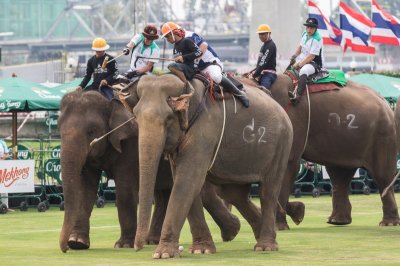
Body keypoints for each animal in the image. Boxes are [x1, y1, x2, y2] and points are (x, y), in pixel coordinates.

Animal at [58, 91, 241, 254]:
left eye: (91, 131)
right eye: (58, 129)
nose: (65, 248)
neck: (109, 102)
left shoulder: (130, 147)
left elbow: (124, 192)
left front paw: (123, 245)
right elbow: (85, 191)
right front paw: (77, 243)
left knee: (203, 192)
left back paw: (232, 231)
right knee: (163, 196)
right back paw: (153, 240)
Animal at [128, 74, 294, 258]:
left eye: (169, 118)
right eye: (135, 116)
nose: (137, 248)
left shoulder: (206, 130)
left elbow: (187, 180)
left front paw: (163, 254)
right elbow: (186, 180)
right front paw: (201, 250)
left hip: (281, 144)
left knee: (268, 191)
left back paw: (265, 247)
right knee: (234, 194)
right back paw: (250, 233)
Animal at [241, 74, 400, 230]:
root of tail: (384, 101)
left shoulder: (292, 123)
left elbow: (288, 165)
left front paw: (284, 223)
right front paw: (298, 213)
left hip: (382, 135)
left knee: (382, 175)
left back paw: (387, 223)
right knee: (339, 174)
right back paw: (337, 221)